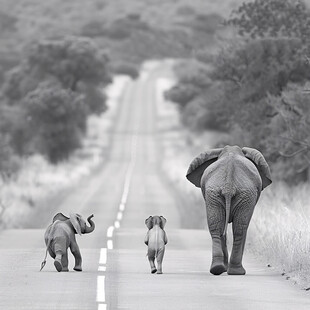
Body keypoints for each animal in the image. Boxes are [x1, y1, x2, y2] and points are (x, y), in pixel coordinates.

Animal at [186, 145, 272, 276]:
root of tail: (228, 185)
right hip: (241, 195)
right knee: (239, 229)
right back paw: (236, 271)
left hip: (218, 194)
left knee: (219, 227)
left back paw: (219, 269)